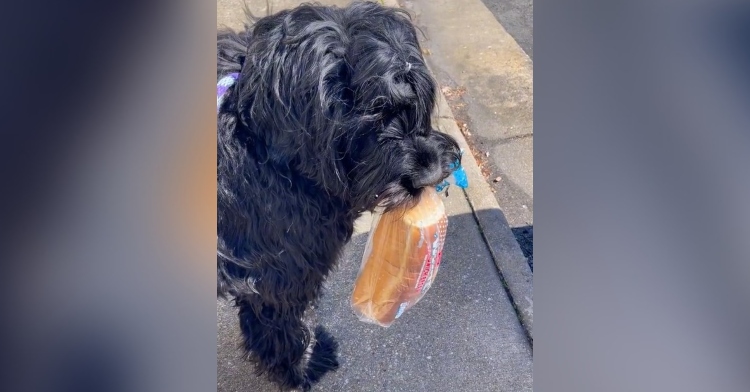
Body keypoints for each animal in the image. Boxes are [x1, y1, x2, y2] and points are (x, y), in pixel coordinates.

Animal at [217, 1, 462, 390]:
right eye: (368, 114)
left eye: (415, 102)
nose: (431, 171)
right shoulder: (280, 274)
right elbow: (281, 327)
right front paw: (299, 370)